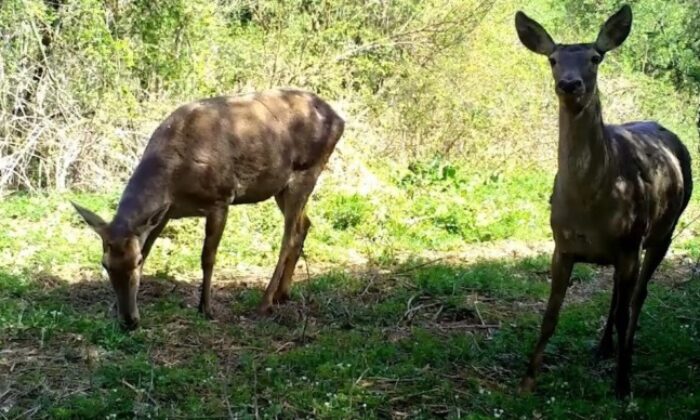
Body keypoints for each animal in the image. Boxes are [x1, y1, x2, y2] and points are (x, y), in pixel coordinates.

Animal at [71, 89, 344, 332]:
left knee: (288, 237)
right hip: (282, 187)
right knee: (304, 224)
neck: (174, 180)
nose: (128, 321)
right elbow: (149, 247)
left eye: (135, 262)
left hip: (308, 170)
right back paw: (283, 293)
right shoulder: (164, 214)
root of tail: (339, 119)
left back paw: (265, 302)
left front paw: (206, 308)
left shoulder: (220, 199)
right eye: (105, 264)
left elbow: (207, 257)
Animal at [516, 5, 696, 398]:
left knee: (638, 297)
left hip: (665, 230)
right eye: (553, 59)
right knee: (617, 294)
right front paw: (527, 380)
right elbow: (550, 315)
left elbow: (628, 310)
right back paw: (603, 347)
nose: (570, 84)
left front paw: (624, 386)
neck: (590, 203)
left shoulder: (630, 243)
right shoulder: (562, 245)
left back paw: (622, 354)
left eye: (595, 58)